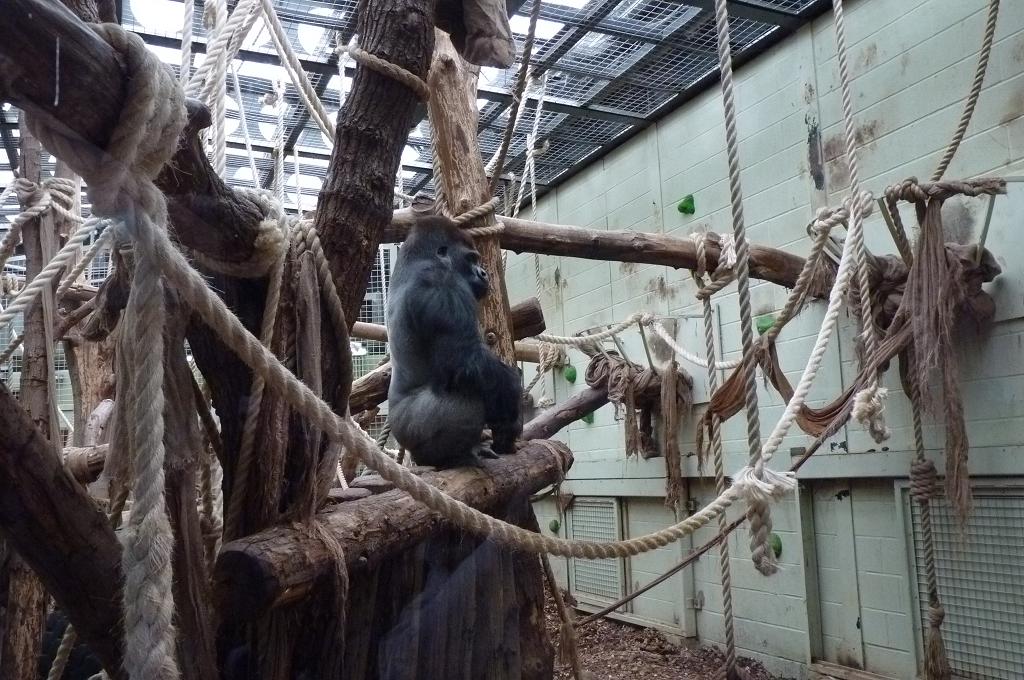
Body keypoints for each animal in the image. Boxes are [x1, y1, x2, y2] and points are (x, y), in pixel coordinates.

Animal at [386, 216, 523, 469]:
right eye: (471, 259)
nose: (483, 273)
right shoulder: (441, 283)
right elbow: (465, 361)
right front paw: (512, 414)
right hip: (413, 432)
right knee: (468, 396)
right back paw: (452, 457)